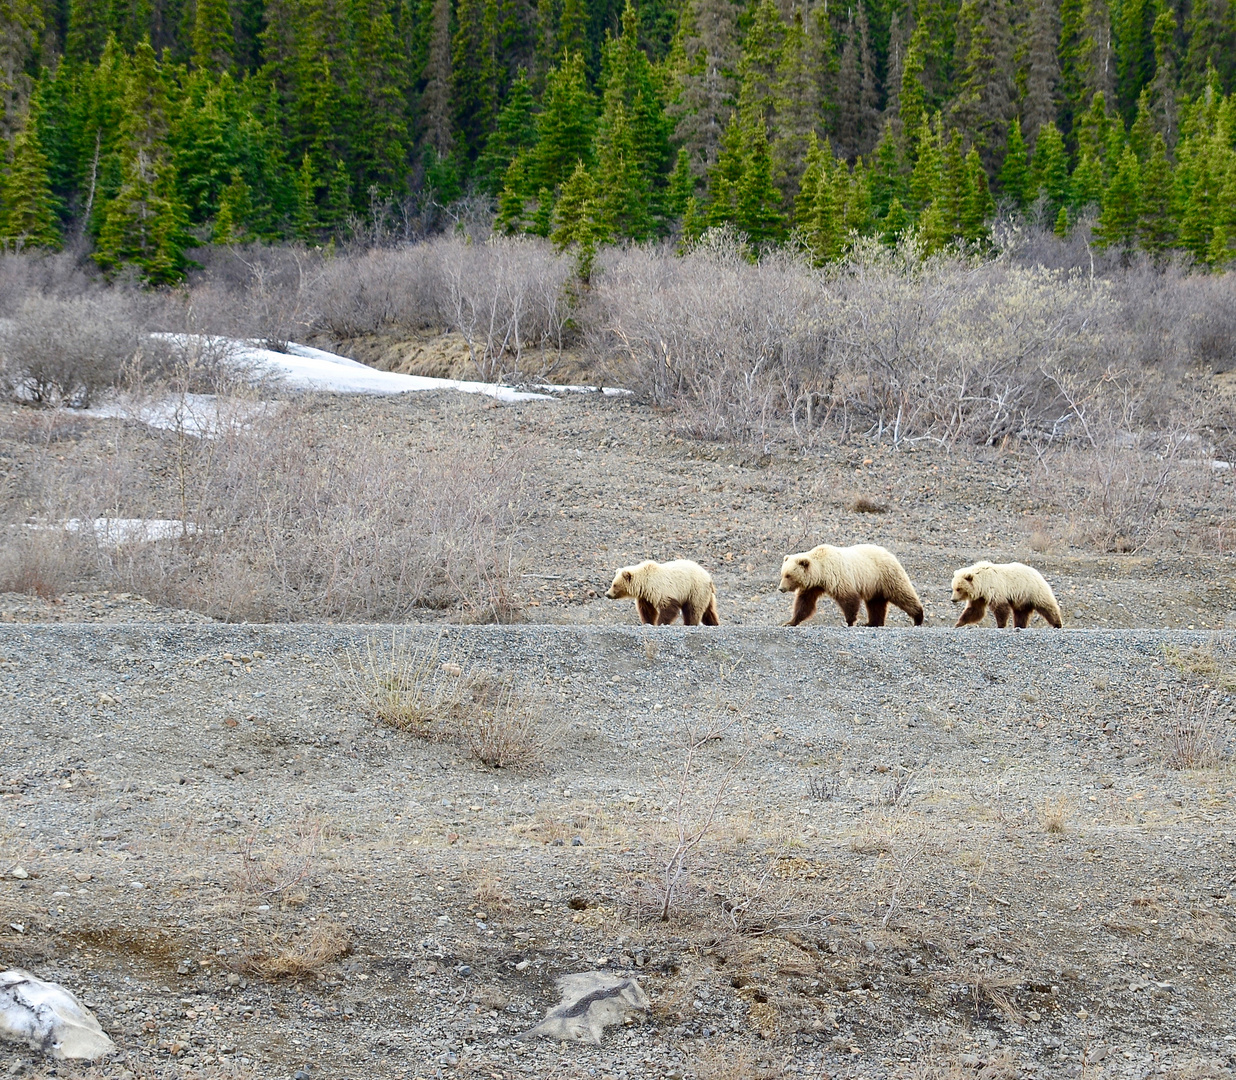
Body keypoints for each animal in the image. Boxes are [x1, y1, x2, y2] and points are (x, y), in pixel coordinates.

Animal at [776, 543, 924, 627]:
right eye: (782, 574)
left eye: (789, 575)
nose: (781, 588)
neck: (821, 572)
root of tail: (889, 553)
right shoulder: (812, 587)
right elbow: (804, 604)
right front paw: (789, 622)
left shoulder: (838, 576)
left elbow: (849, 599)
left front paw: (850, 621)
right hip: (874, 585)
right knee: (875, 604)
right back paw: (872, 623)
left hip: (886, 576)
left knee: (903, 594)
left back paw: (918, 617)